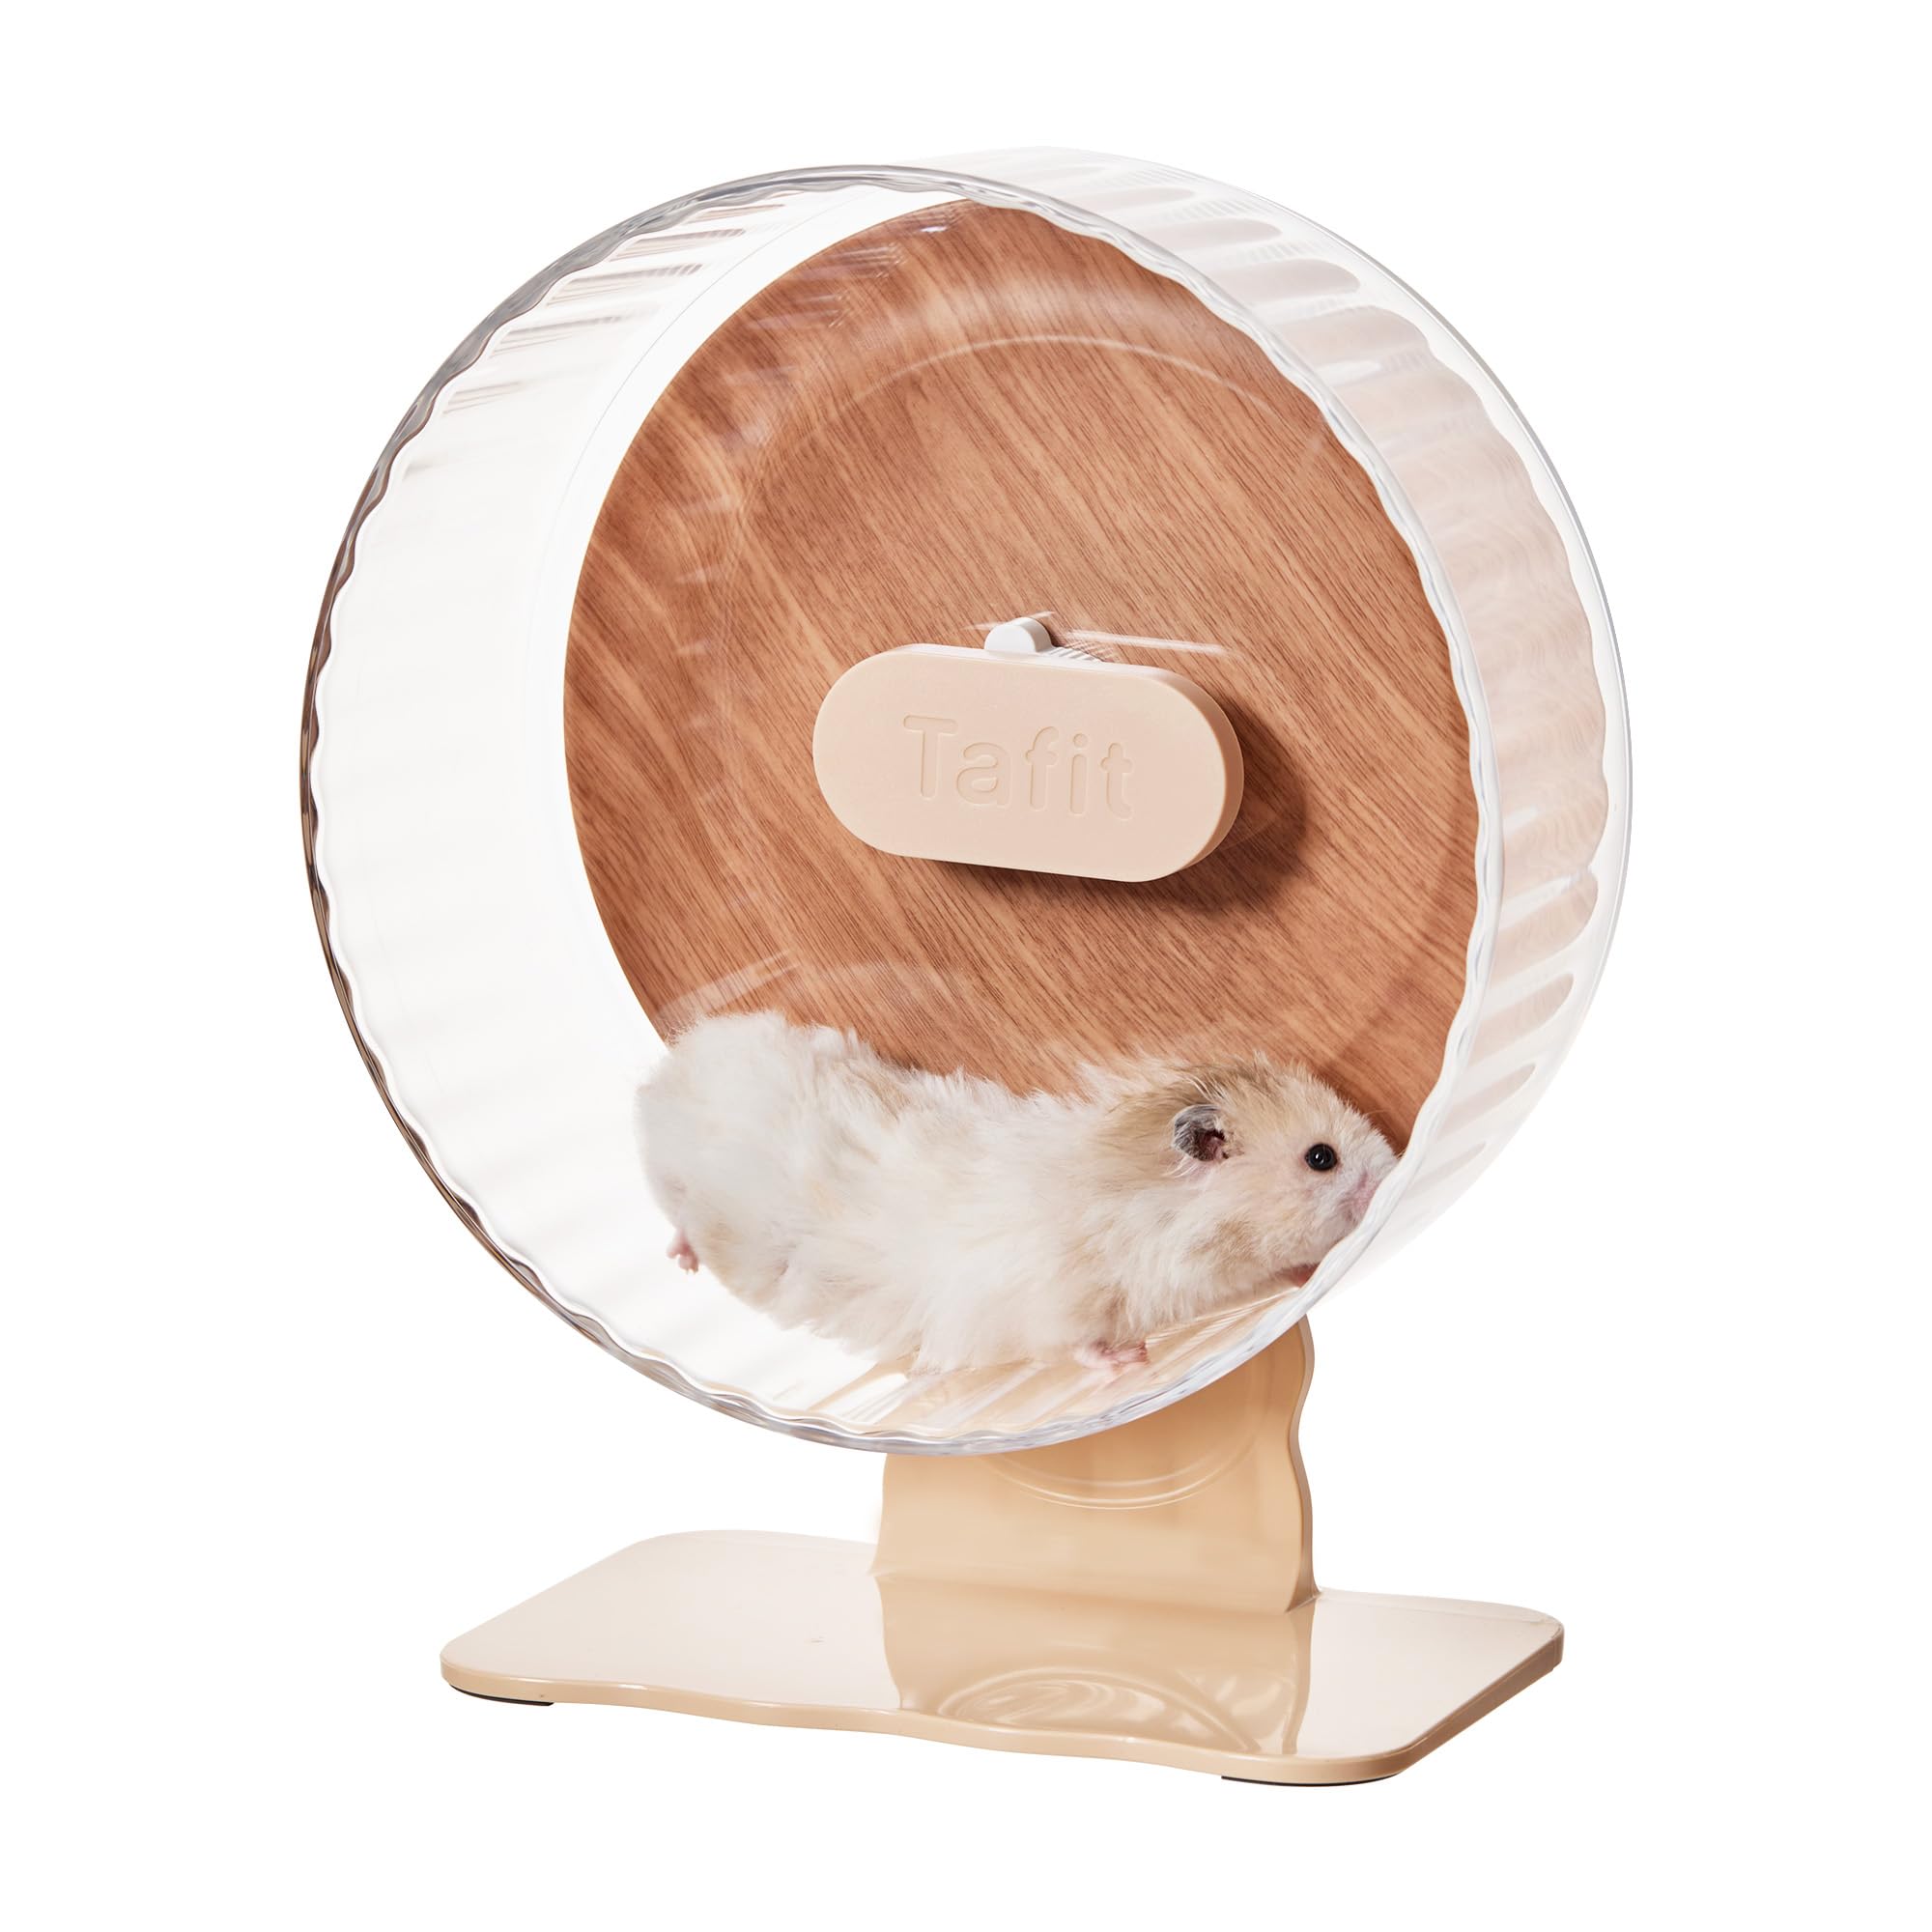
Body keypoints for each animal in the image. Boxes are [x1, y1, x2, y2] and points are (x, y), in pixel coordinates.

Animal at [638, 1011, 1396, 1374]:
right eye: (1321, 1158)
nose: (1392, 1170)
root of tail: (671, 1068)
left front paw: (1305, 1273)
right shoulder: (1057, 1305)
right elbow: (1076, 1345)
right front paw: (1132, 1361)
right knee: (674, 1217)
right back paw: (678, 1260)